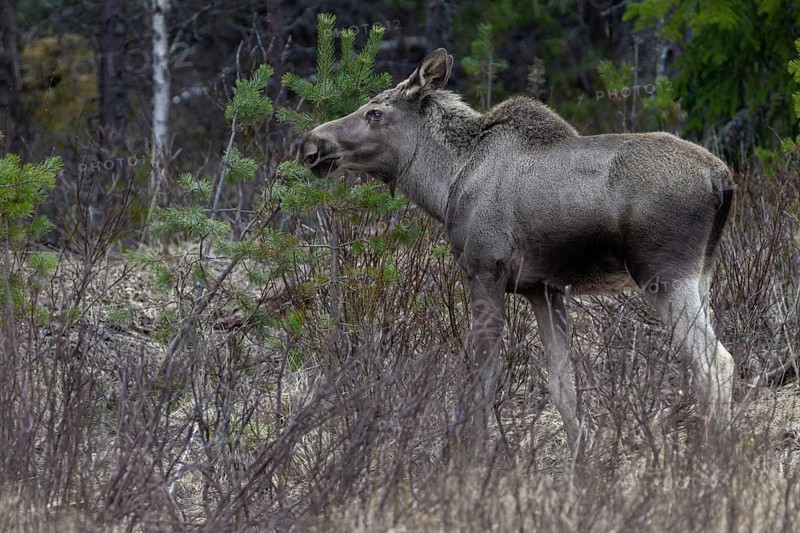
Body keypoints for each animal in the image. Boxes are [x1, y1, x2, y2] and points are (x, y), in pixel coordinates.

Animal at [299, 48, 735, 458]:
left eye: (375, 112)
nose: (310, 144)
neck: (445, 185)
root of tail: (723, 180)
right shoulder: (543, 289)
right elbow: (563, 385)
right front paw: (580, 463)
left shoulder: (484, 270)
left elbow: (484, 376)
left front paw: (472, 454)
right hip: (702, 275)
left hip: (662, 273)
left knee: (716, 362)